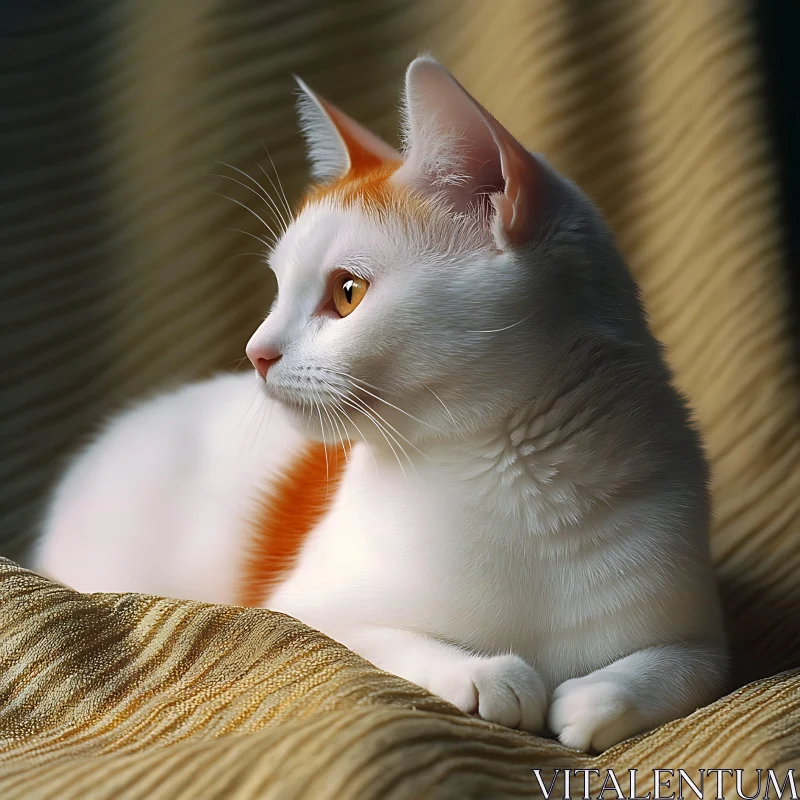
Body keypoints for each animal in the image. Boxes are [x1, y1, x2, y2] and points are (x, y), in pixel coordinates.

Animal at [36, 56, 724, 752]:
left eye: (347, 293)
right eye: (278, 287)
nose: (257, 351)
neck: (515, 477)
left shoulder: (698, 624)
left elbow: (687, 666)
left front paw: (599, 697)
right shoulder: (301, 609)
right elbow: (381, 640)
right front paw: (484, 675)